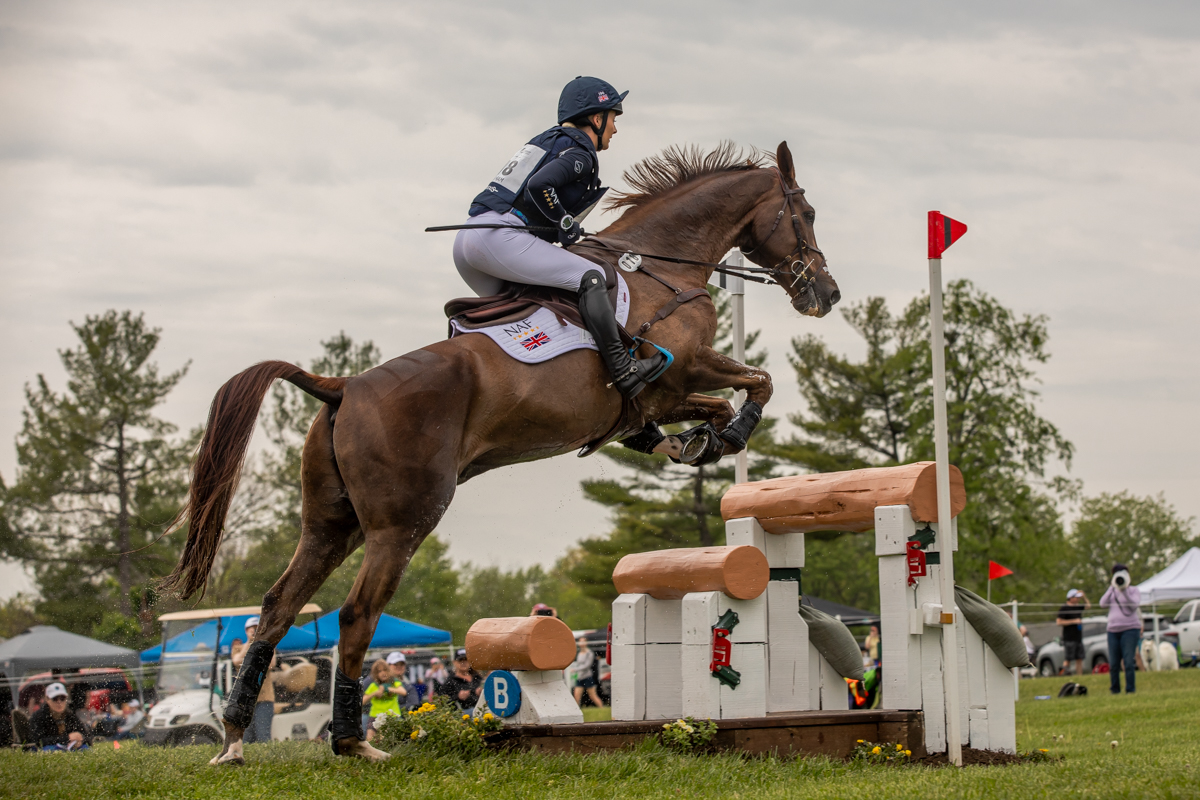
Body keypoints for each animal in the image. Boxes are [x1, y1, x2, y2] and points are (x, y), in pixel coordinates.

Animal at [164, 139, 844, 762]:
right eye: (806, 212)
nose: (827, 293)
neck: (661, 269)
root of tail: (344, 386)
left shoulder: (667, 394)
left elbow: (719, 403)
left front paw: (696, 442)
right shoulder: (682, 369)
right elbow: (757, 382)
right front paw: (725, 436)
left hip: (333, 524)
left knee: (279, 607)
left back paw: (234, 738)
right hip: (401, 522)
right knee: (356, 615)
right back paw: (353, 743)